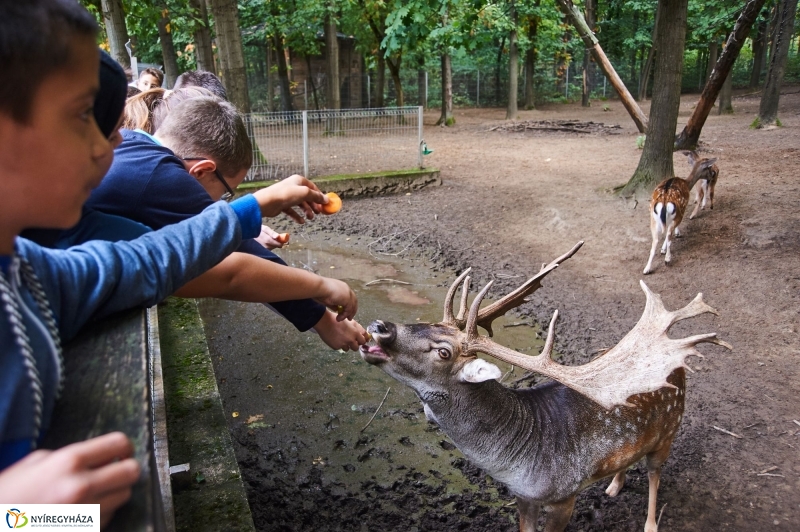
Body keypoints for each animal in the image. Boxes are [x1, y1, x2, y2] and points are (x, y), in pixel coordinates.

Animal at [362, 242, 732, 532]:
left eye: (444, 352)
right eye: (427, 323)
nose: (379, 326)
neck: (516, 463)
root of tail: (677, 367)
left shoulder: (564, 495)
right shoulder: (523, 495)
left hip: (669, 428)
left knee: (656, 475)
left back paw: (651, 524)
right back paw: (613, 487)